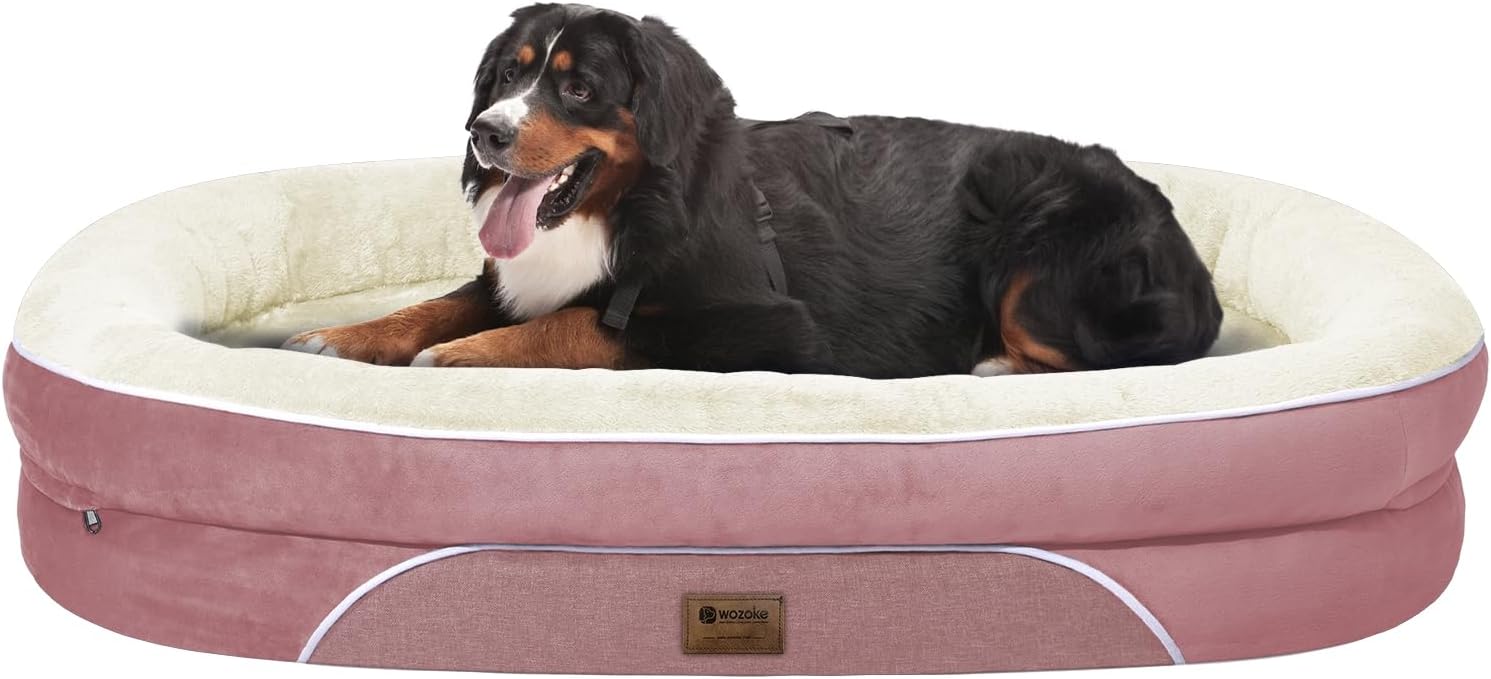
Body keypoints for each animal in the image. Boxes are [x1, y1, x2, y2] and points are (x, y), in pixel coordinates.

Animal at [284, 3, 1222, 379]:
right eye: (507, 76)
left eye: (577, 87)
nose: (487, 132)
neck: (621, 209)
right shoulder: (513, 274)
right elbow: (438, 303)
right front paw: (346, 335)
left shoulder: (770, 325)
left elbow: (585, 325)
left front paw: (470, 353)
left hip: (1037, 263)